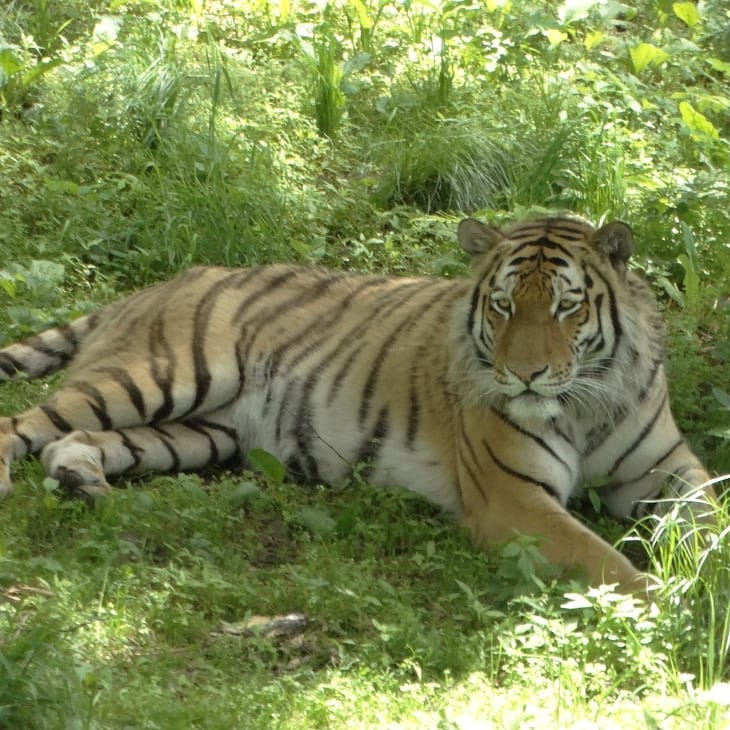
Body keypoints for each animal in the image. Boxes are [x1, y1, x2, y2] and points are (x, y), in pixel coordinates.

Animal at [0, 215, 712, 592]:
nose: (525, 375)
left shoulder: (666, 470)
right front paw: (672, 607)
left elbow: (710, 515)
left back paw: (84, 484)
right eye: (504, 305)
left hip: (198, 432)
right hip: (162, 376)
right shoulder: (515, 499)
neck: (586, 402)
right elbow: (607, 562)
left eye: (567, 307)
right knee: (22, 423)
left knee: (71, 442)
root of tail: (162, 283)